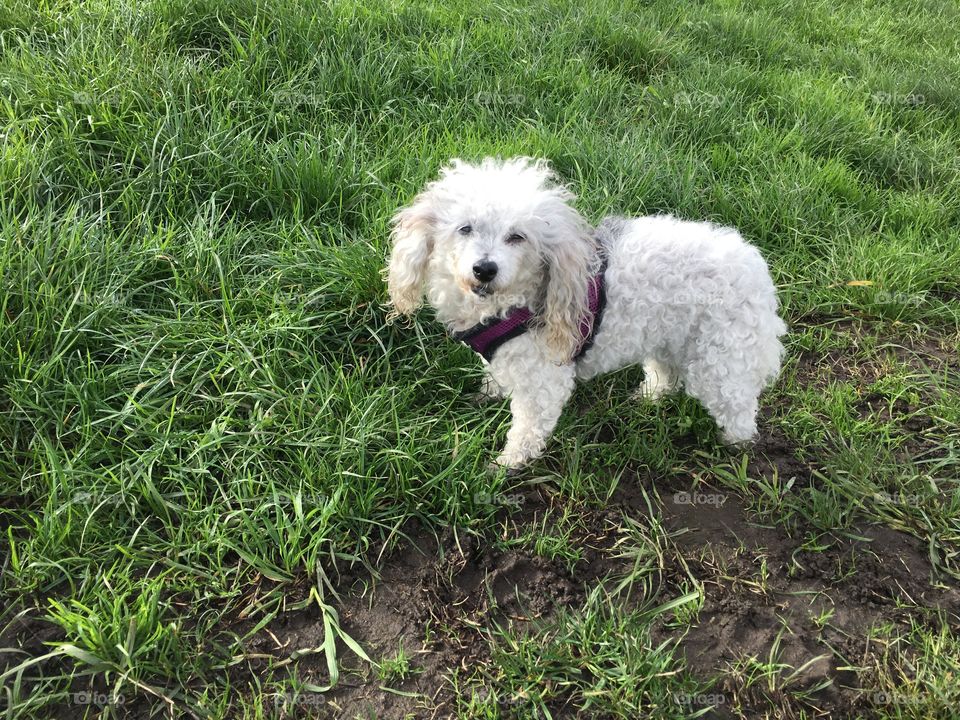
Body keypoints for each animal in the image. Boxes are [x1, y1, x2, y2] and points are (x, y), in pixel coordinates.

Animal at [386, 158, 784, 470]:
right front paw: (488, 393)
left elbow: (528, 428)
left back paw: (736, 448)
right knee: (666, 373)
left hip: (721, 359)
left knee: (737, 407)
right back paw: (649, 397)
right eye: (465, 228)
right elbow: (496, 378)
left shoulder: (544, 381)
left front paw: (507, 464)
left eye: (517, 237)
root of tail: (757, 269)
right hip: (668, 334)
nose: (484, 269)